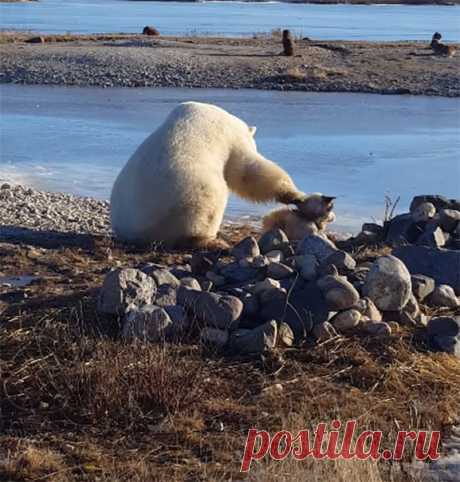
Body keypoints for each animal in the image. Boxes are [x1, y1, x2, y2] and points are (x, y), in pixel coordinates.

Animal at [111, 100, 316, 247]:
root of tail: (137, 232)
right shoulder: (232, 138)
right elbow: (247, 171)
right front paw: (297, 196)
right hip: (189, 192)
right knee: (209, 204)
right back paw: (212, 240)